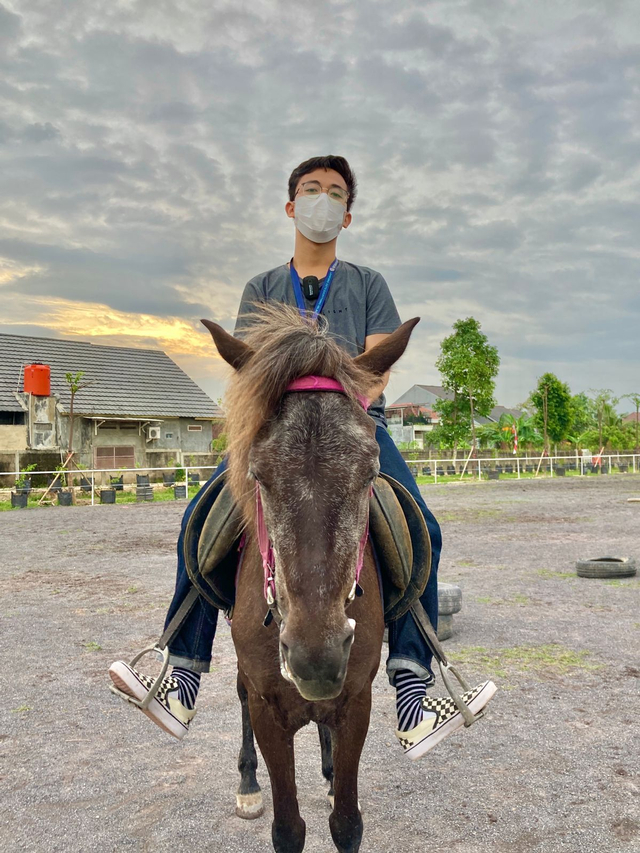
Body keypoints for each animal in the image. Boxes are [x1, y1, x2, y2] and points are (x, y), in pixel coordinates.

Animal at [203, 305, 419, 853]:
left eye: (370, 473)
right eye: (257, 475)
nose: (314, 657)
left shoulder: (356, 701)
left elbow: (346, 823)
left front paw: (332, 781)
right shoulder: (267, 709)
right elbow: (287, 828)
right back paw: (248, 784)